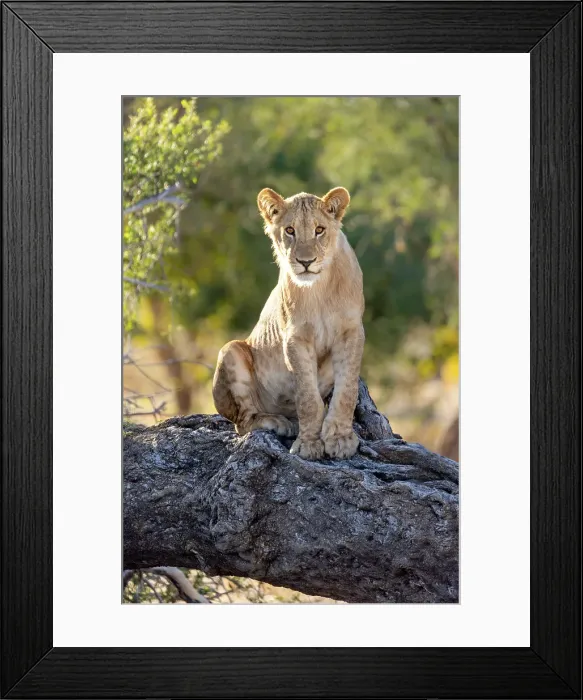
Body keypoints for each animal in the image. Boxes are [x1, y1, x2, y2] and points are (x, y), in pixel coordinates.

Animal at [212, 186, 365, 460]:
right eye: (290, 230)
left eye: (319, 229)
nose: (305, 262)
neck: (318, 289)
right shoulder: (295, 338)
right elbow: (308, 397)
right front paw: (308, 444)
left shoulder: (352, 332)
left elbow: (346, 390)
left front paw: (340, 439)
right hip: (230, 349)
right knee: (243, 422)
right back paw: (278, 422)